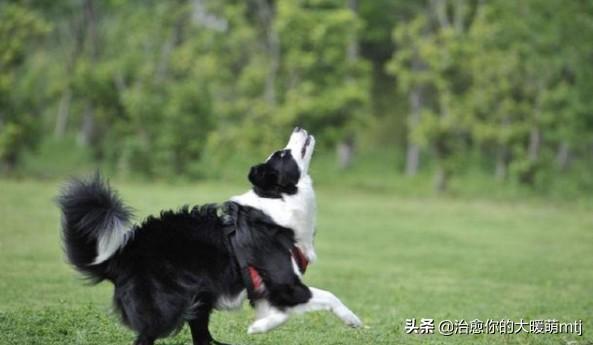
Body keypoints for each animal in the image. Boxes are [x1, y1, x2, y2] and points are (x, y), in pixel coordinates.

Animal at [59, 128, 360, 344]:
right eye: (283, 155)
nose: (298, 127)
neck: (279, 201)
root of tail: (120, 256)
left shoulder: (267, 291)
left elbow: (281, 314)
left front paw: (259, 326)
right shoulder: (285, 283)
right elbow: (329, 296)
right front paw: (352, 319)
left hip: (198, 300)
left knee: (202, 338)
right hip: (166, 310)